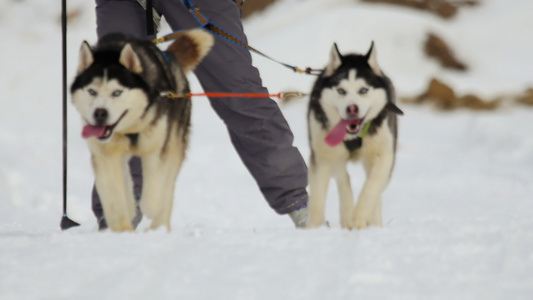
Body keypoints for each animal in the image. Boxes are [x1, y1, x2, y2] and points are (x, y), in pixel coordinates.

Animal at [70, 29, 214, 232]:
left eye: (117, 92)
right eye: (92, 91)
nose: (100, 113)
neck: (129, 129)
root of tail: (170, 57)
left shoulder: (157, 149)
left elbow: (155, 193)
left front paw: (149, 208)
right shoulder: (105, 155)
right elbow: (115, 196)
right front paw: (122, 229)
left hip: (175, 143)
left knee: (168, 185)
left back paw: (159, 227)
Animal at [306, 42, 402, 230]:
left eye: (363, 90)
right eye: (341, 91)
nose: (352, 109)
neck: (353, 137)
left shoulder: (384, 155)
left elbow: (372, 186)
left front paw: (360, 216)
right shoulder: (322, 158)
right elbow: (318, 197)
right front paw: (313, 228)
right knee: (343, 177)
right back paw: (347, 214)